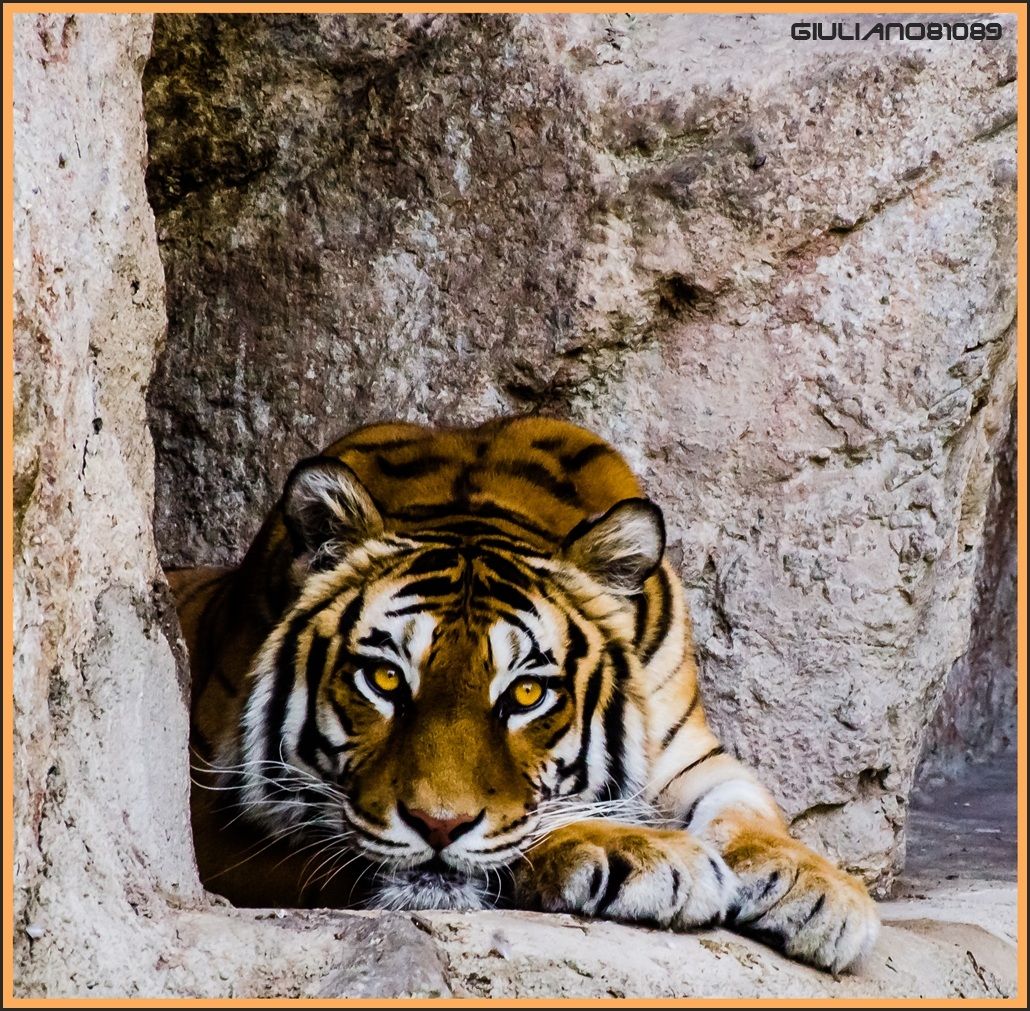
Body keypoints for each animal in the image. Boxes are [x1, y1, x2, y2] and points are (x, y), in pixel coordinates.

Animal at [171, 416, 878, 973]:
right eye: (386, 679)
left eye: (528, 693)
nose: (438, 825)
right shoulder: (207, 813)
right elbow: (530, 832)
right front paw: (645, 853)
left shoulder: (689, 751)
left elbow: (750, 809)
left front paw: (820, 891)